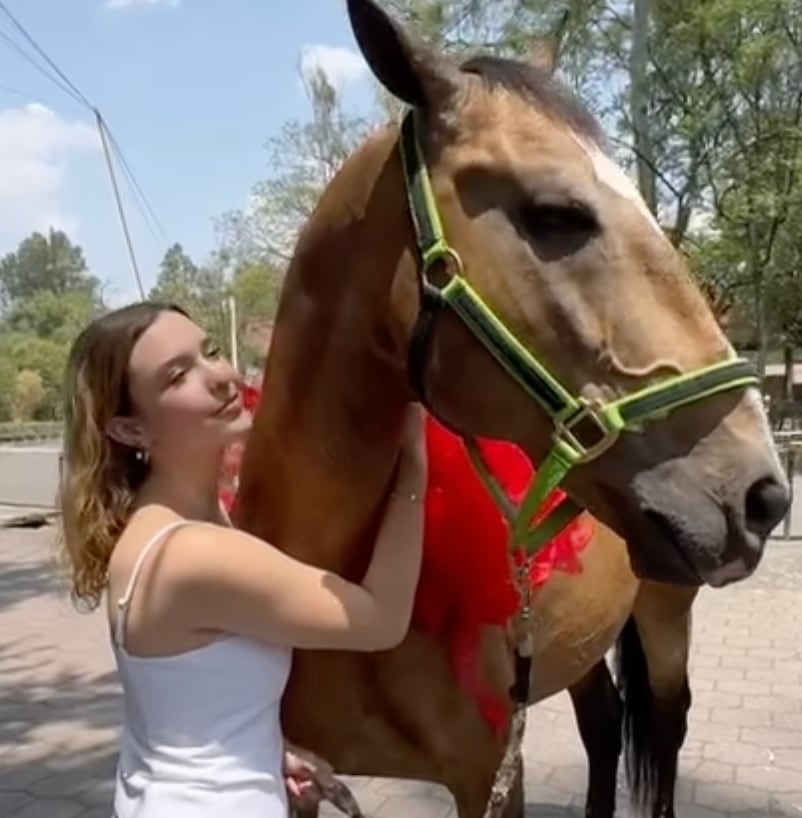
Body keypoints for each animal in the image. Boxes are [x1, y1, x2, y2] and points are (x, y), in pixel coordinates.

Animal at [232, 2, 789, 817]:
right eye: (555, 214)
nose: (762, 494)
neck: (338, 596)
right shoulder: (298, 776)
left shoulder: (490, 773)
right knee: (603, 726)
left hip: (665, 620)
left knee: (664, 731)